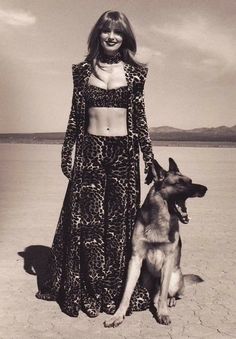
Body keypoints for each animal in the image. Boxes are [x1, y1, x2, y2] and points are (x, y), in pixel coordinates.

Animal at [104, 158, 206, 328]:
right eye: (180, 183)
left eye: (190, 181)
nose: (205, 189)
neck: (159, 220)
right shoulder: (135, 259)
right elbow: (126, 293)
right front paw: (118, 315)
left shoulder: (168, 261)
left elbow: (164, 294)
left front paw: (163, 313)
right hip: (146, 278)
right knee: (154, 296)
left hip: (175, 277)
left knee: (171, 294)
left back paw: (170, 301)